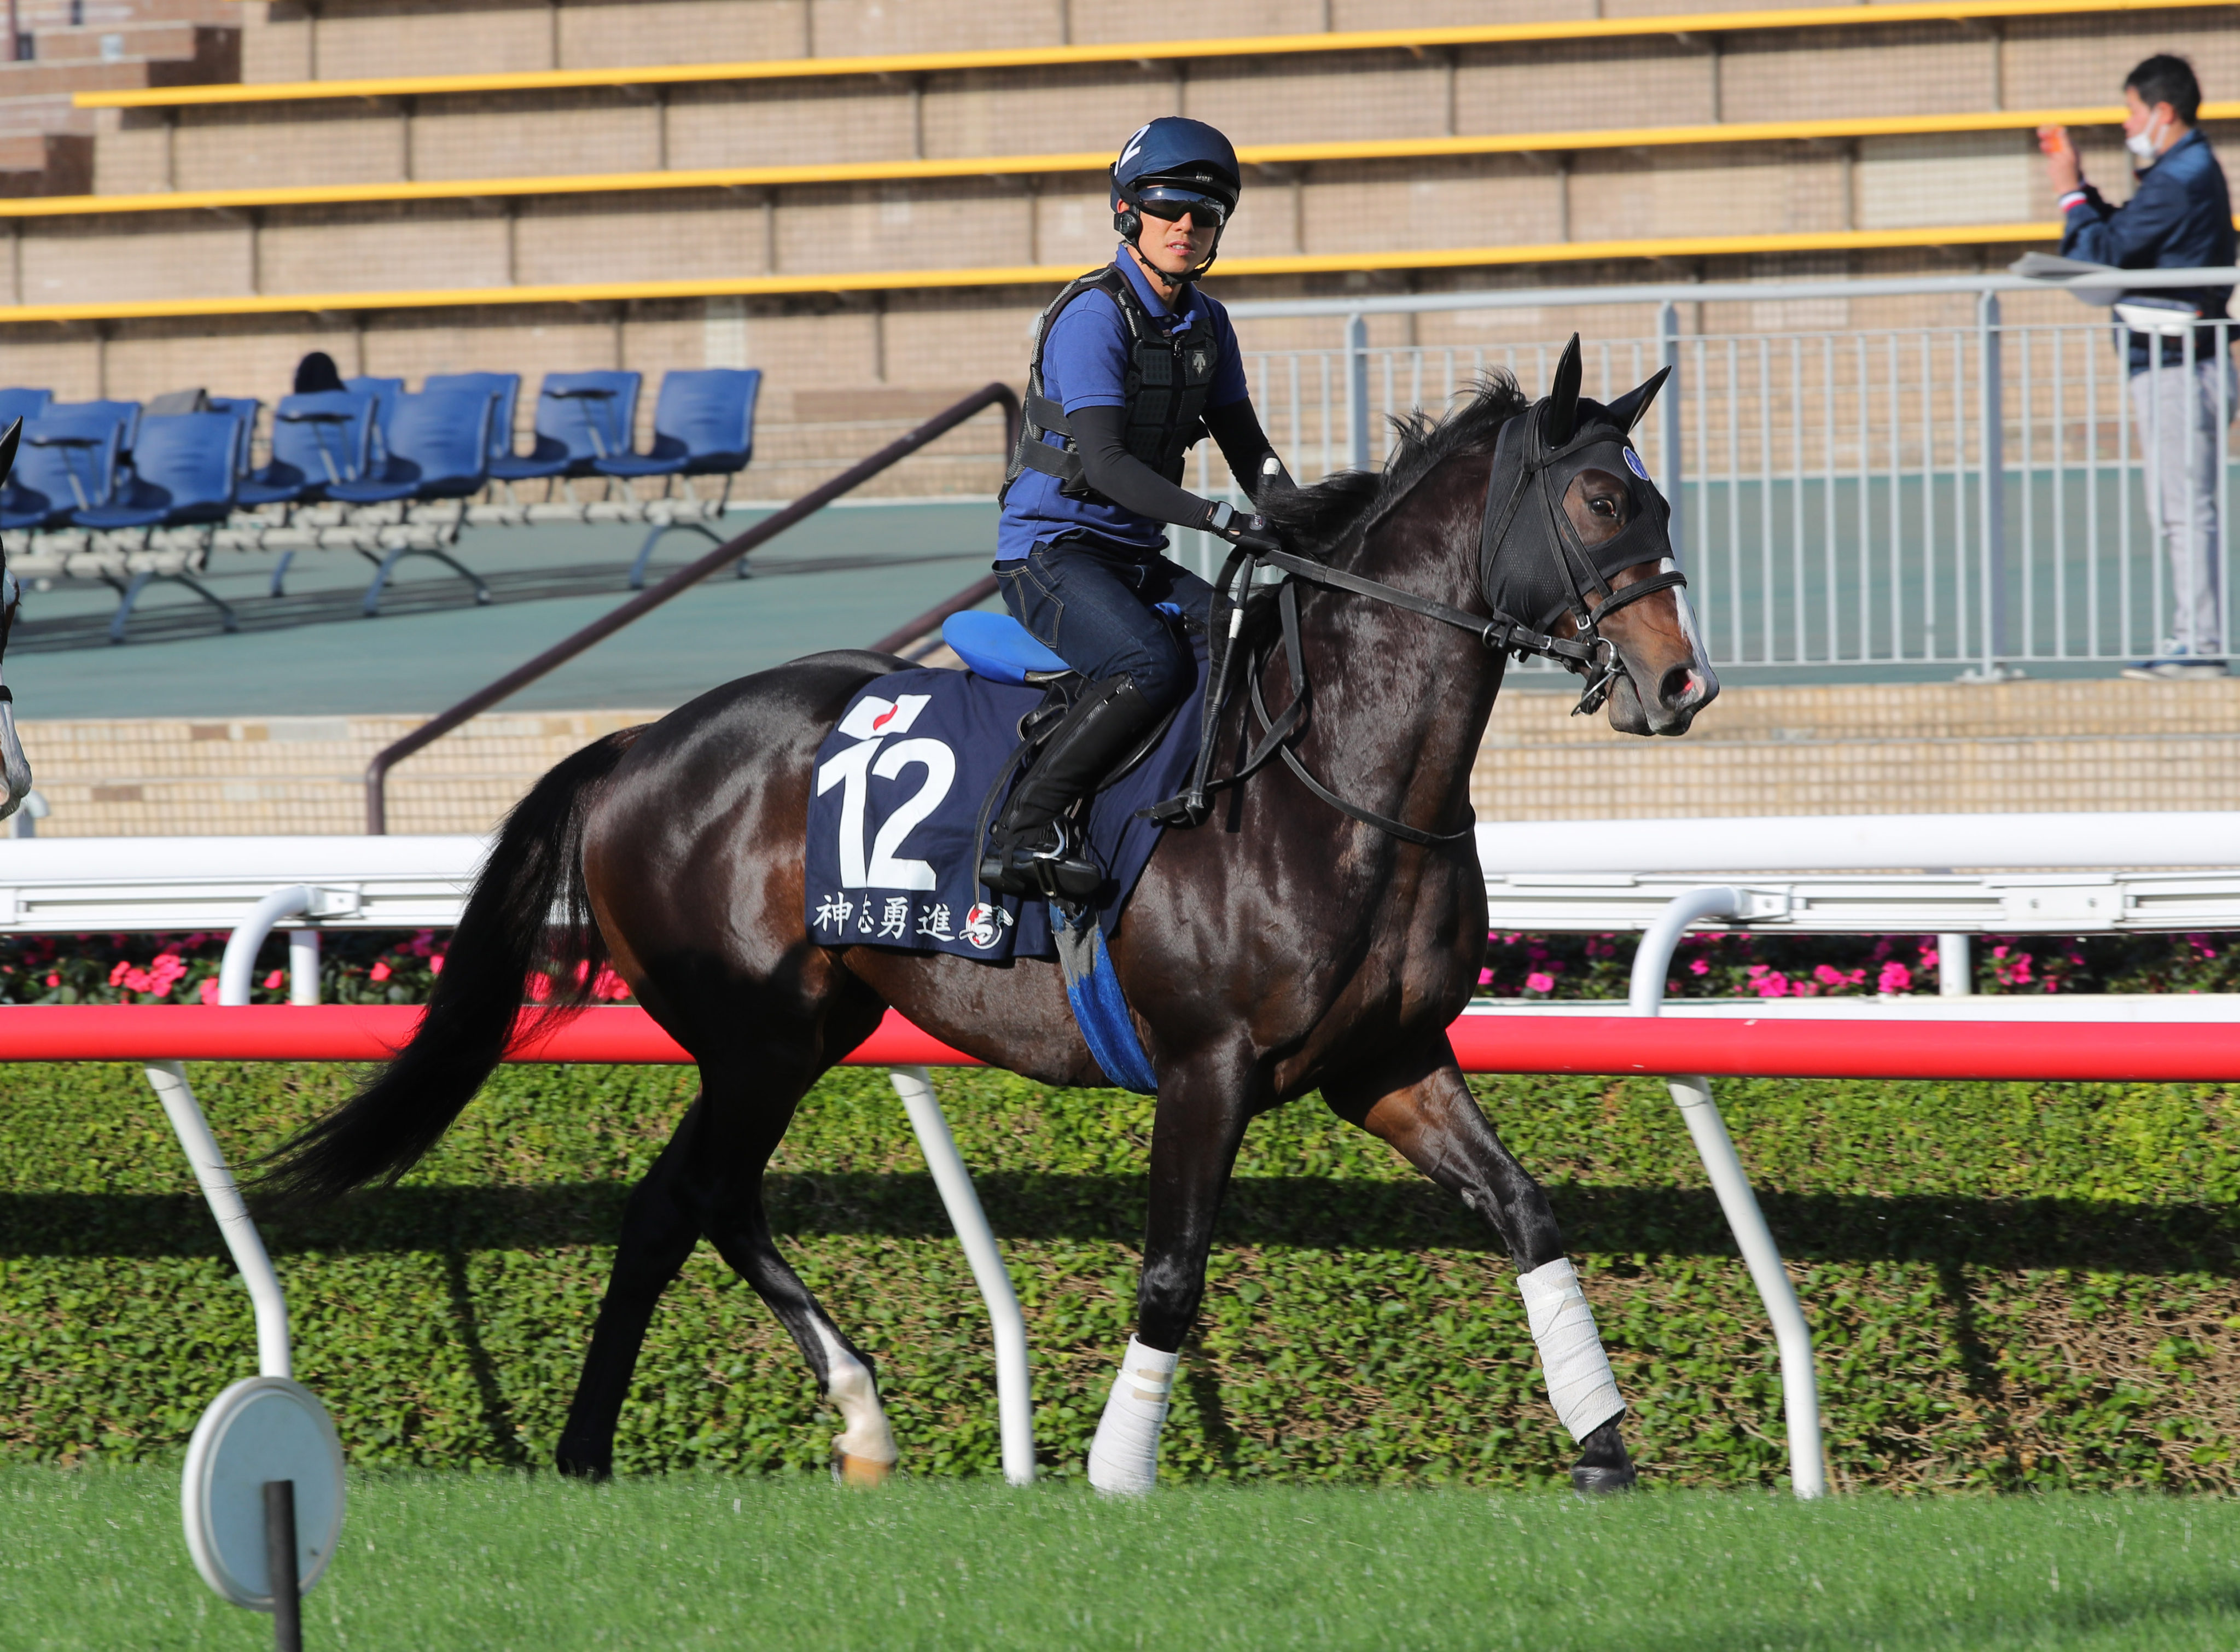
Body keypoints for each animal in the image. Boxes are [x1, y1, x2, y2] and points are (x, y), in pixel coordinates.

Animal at [271, 338, 1720, 1497]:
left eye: (1652, 497)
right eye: (1600, 499)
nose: (1681, 683)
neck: (1331, 777)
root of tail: (634, 747)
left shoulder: (1388, 1060)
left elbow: (1526, 1212)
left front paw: (1601, 1445)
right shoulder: (1208, 1065)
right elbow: (1171, 1272)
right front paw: (1116, 1469)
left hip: (796, 1032)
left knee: (692, 1201)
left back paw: (757, 1426)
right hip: (756, 1037)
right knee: (688, 1199)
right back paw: (681, 1433)